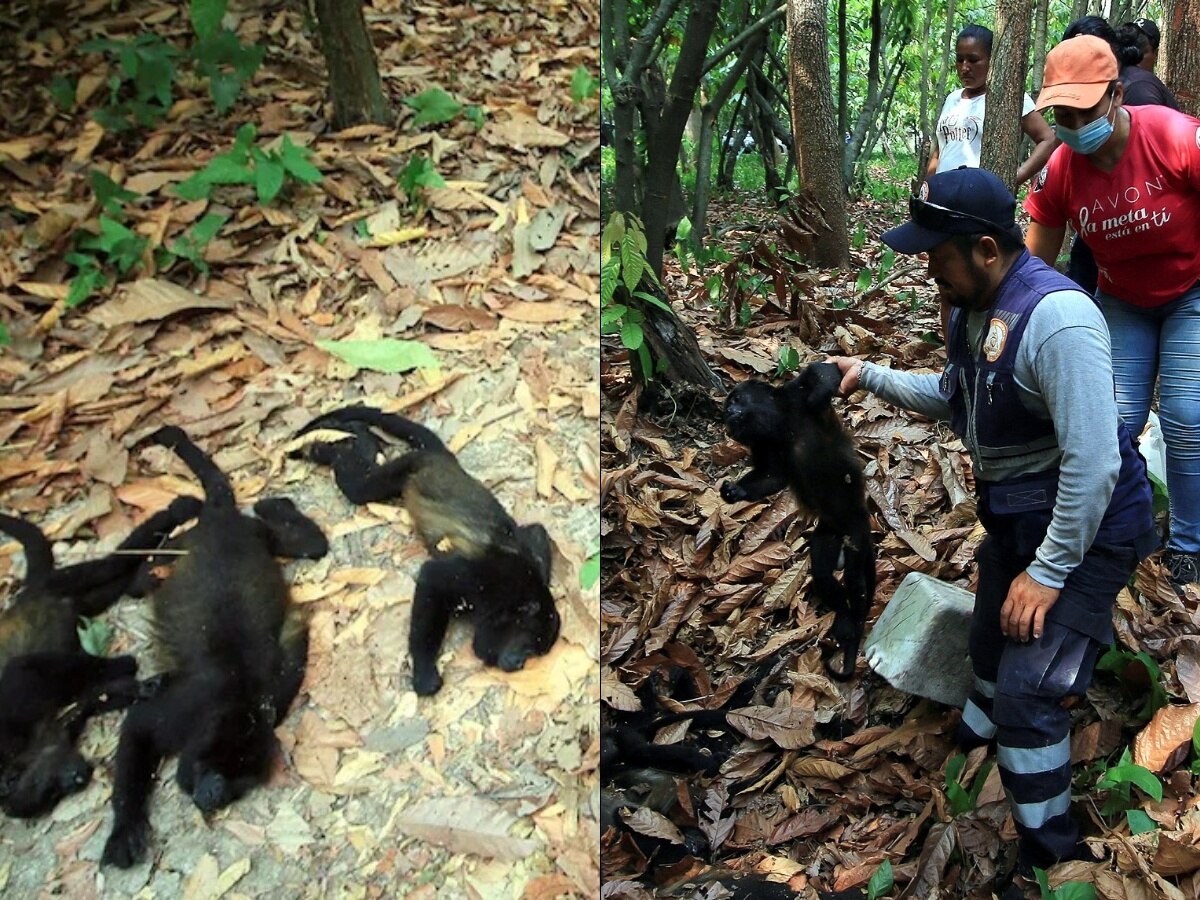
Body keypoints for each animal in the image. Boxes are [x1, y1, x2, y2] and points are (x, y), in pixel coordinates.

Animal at [0, 496, 199, 820]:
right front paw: (142, 687)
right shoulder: (57, 730)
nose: (78, 780)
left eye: (46, 787)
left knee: (108, 565)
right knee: (113, 583)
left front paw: (126, 666)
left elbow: (22, 669)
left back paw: (174, 515)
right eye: (51, 795)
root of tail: (24, 595)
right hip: (77, 601)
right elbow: (91, 700)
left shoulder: (13, 707)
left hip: (58, 584)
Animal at [100, 429, 324, 873]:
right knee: (141, 581)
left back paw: (278, 506)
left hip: (257, 536)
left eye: (240, 780)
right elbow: (137, 727)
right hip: (188, 545)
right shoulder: (184, 710)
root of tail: (222, 520)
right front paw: (125, 828)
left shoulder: (273, 696)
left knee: (311, 545)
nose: (215, 794)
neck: (235, 703)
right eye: (218, 767)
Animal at [292, 408, 559, 696]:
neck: (515, 596)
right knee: (359, 486)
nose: (519, 663)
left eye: (534, 653)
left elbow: (536, 531)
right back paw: (340, 445)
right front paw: (425, 673)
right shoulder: (484, 579)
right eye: (530, 646)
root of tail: (446, 460)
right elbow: (433, 578)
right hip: (410, 465)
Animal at [715, 362, 878, 681]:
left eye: (736, 399)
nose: (727, 413)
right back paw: (845, 621)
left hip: (856, 531)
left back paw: (853, 622)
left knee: (856, 578)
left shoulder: (791, 395)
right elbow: (773, 477)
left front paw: (818, 393)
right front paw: (733, 492)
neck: (778, 423)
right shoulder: (762, 445)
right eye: (728, 407)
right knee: (824, 574)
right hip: (827, 533)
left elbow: (824, 373)